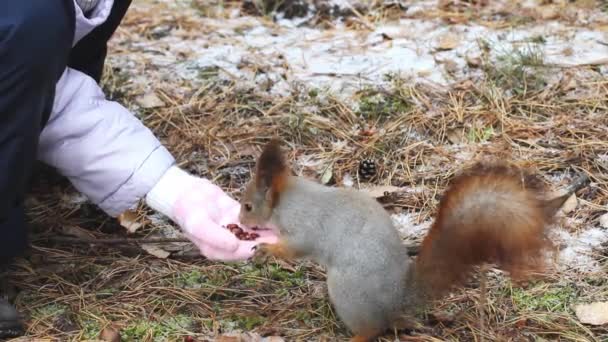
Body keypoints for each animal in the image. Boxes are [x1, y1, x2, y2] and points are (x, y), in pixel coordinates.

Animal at [238, 138, 588, 340]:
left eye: (248, 205)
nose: (240, 221)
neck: (287, 201)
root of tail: (398, 298)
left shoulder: (304, 227)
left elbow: (296, 247)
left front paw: (266, 249)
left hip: (347, 291)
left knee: (372, 331)